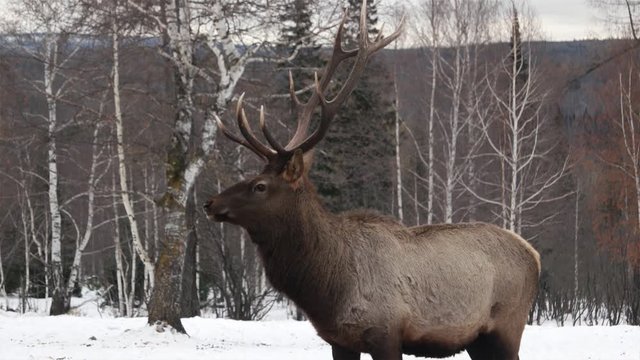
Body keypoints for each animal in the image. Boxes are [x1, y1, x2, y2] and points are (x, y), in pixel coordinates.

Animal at [204, 1, 540, 358]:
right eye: (253, 175)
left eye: (260, 186)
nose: (209, 203)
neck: (327, 289)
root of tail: (534, 256)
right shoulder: (339, 340)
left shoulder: (385, 332)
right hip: (478, 339)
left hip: (507, 325)